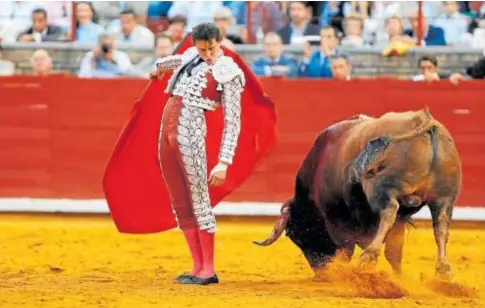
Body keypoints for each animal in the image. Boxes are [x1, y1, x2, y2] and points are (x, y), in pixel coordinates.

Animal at [253, 109, 462, 280]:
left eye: (297, 235)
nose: (321, 272)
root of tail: (423, 120)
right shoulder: (398, 220)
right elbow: (394, 251)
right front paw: (399, 277)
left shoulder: (336, 216)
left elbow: (347, 248)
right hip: (444, 198)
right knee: (441, 226)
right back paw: (443, 270)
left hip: (381, 190)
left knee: (389, 210)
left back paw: (369, 256)